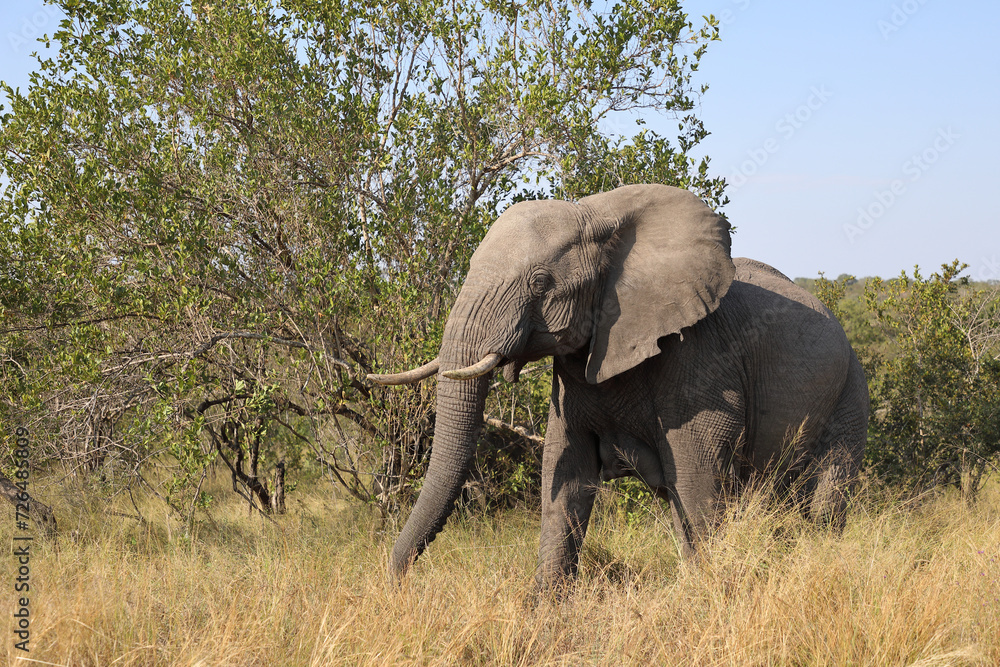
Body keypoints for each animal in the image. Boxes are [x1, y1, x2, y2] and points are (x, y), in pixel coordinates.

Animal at [372, 183, 872, 588]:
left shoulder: (700, 359)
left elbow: (696, 480)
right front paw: (544, 612)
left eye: (540, 282)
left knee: (824, 502)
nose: (398, 585)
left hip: (850, 392)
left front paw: (713, 596)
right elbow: (564, 479)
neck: (597, 218)